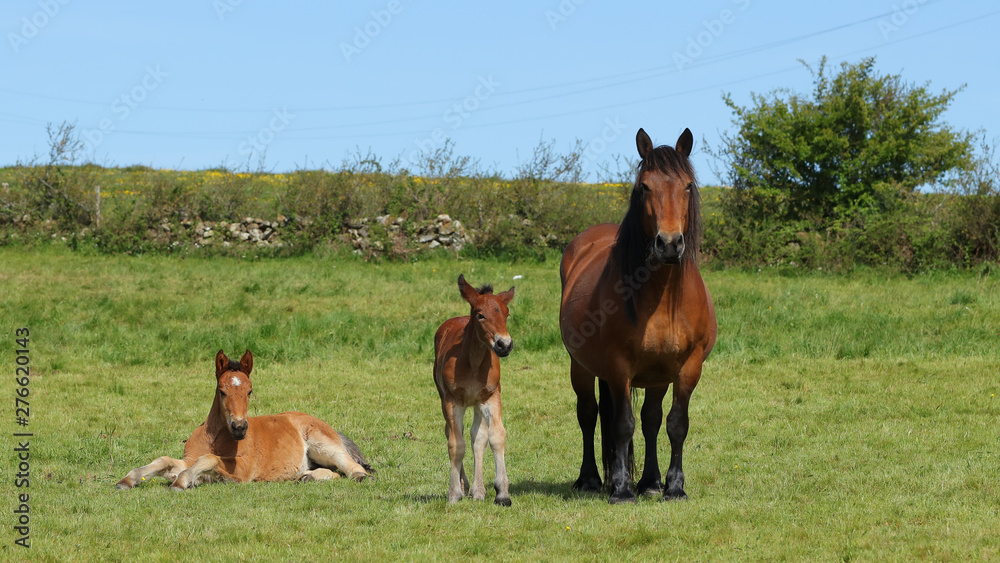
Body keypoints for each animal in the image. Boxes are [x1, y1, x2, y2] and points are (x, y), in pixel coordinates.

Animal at [116, 349, 373, 491]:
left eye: (249, 391)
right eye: (222, 391)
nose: (239, 427)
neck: (216, 438)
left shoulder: (244, 469)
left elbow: (208, 460)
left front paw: (181, 482)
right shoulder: (189, 459)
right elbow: (165, 461)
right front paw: (128, 480)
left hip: (324, 444)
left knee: (353, 469)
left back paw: (354, 476)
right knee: (334, 472)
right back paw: (307, 477)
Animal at [433, 274, 515, 505]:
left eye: (506, 314)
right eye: (480, 315)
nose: (504, 344)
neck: (474, 363)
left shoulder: (491, 397)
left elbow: (495, 437)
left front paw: (502, 493)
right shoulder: (452, 401)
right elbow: (456, 444)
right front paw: (454, 493)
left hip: (478, 404)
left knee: (477, 438)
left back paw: (478, 491)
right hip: (444, 398)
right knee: (452, 433)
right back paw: (465, 486)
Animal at [559, 127, 717, 504]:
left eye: (687, 185)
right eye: (645, 186)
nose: (670, 244)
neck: (662, 300)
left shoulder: (686, 368)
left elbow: (672, 423)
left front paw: (671, 486)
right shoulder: (618, 367)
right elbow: (621, 425)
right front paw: (621, 489)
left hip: (656, 375)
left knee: (650, 419)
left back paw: (649, 481)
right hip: (580, 366)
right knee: (588, 414)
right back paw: (590, 479)